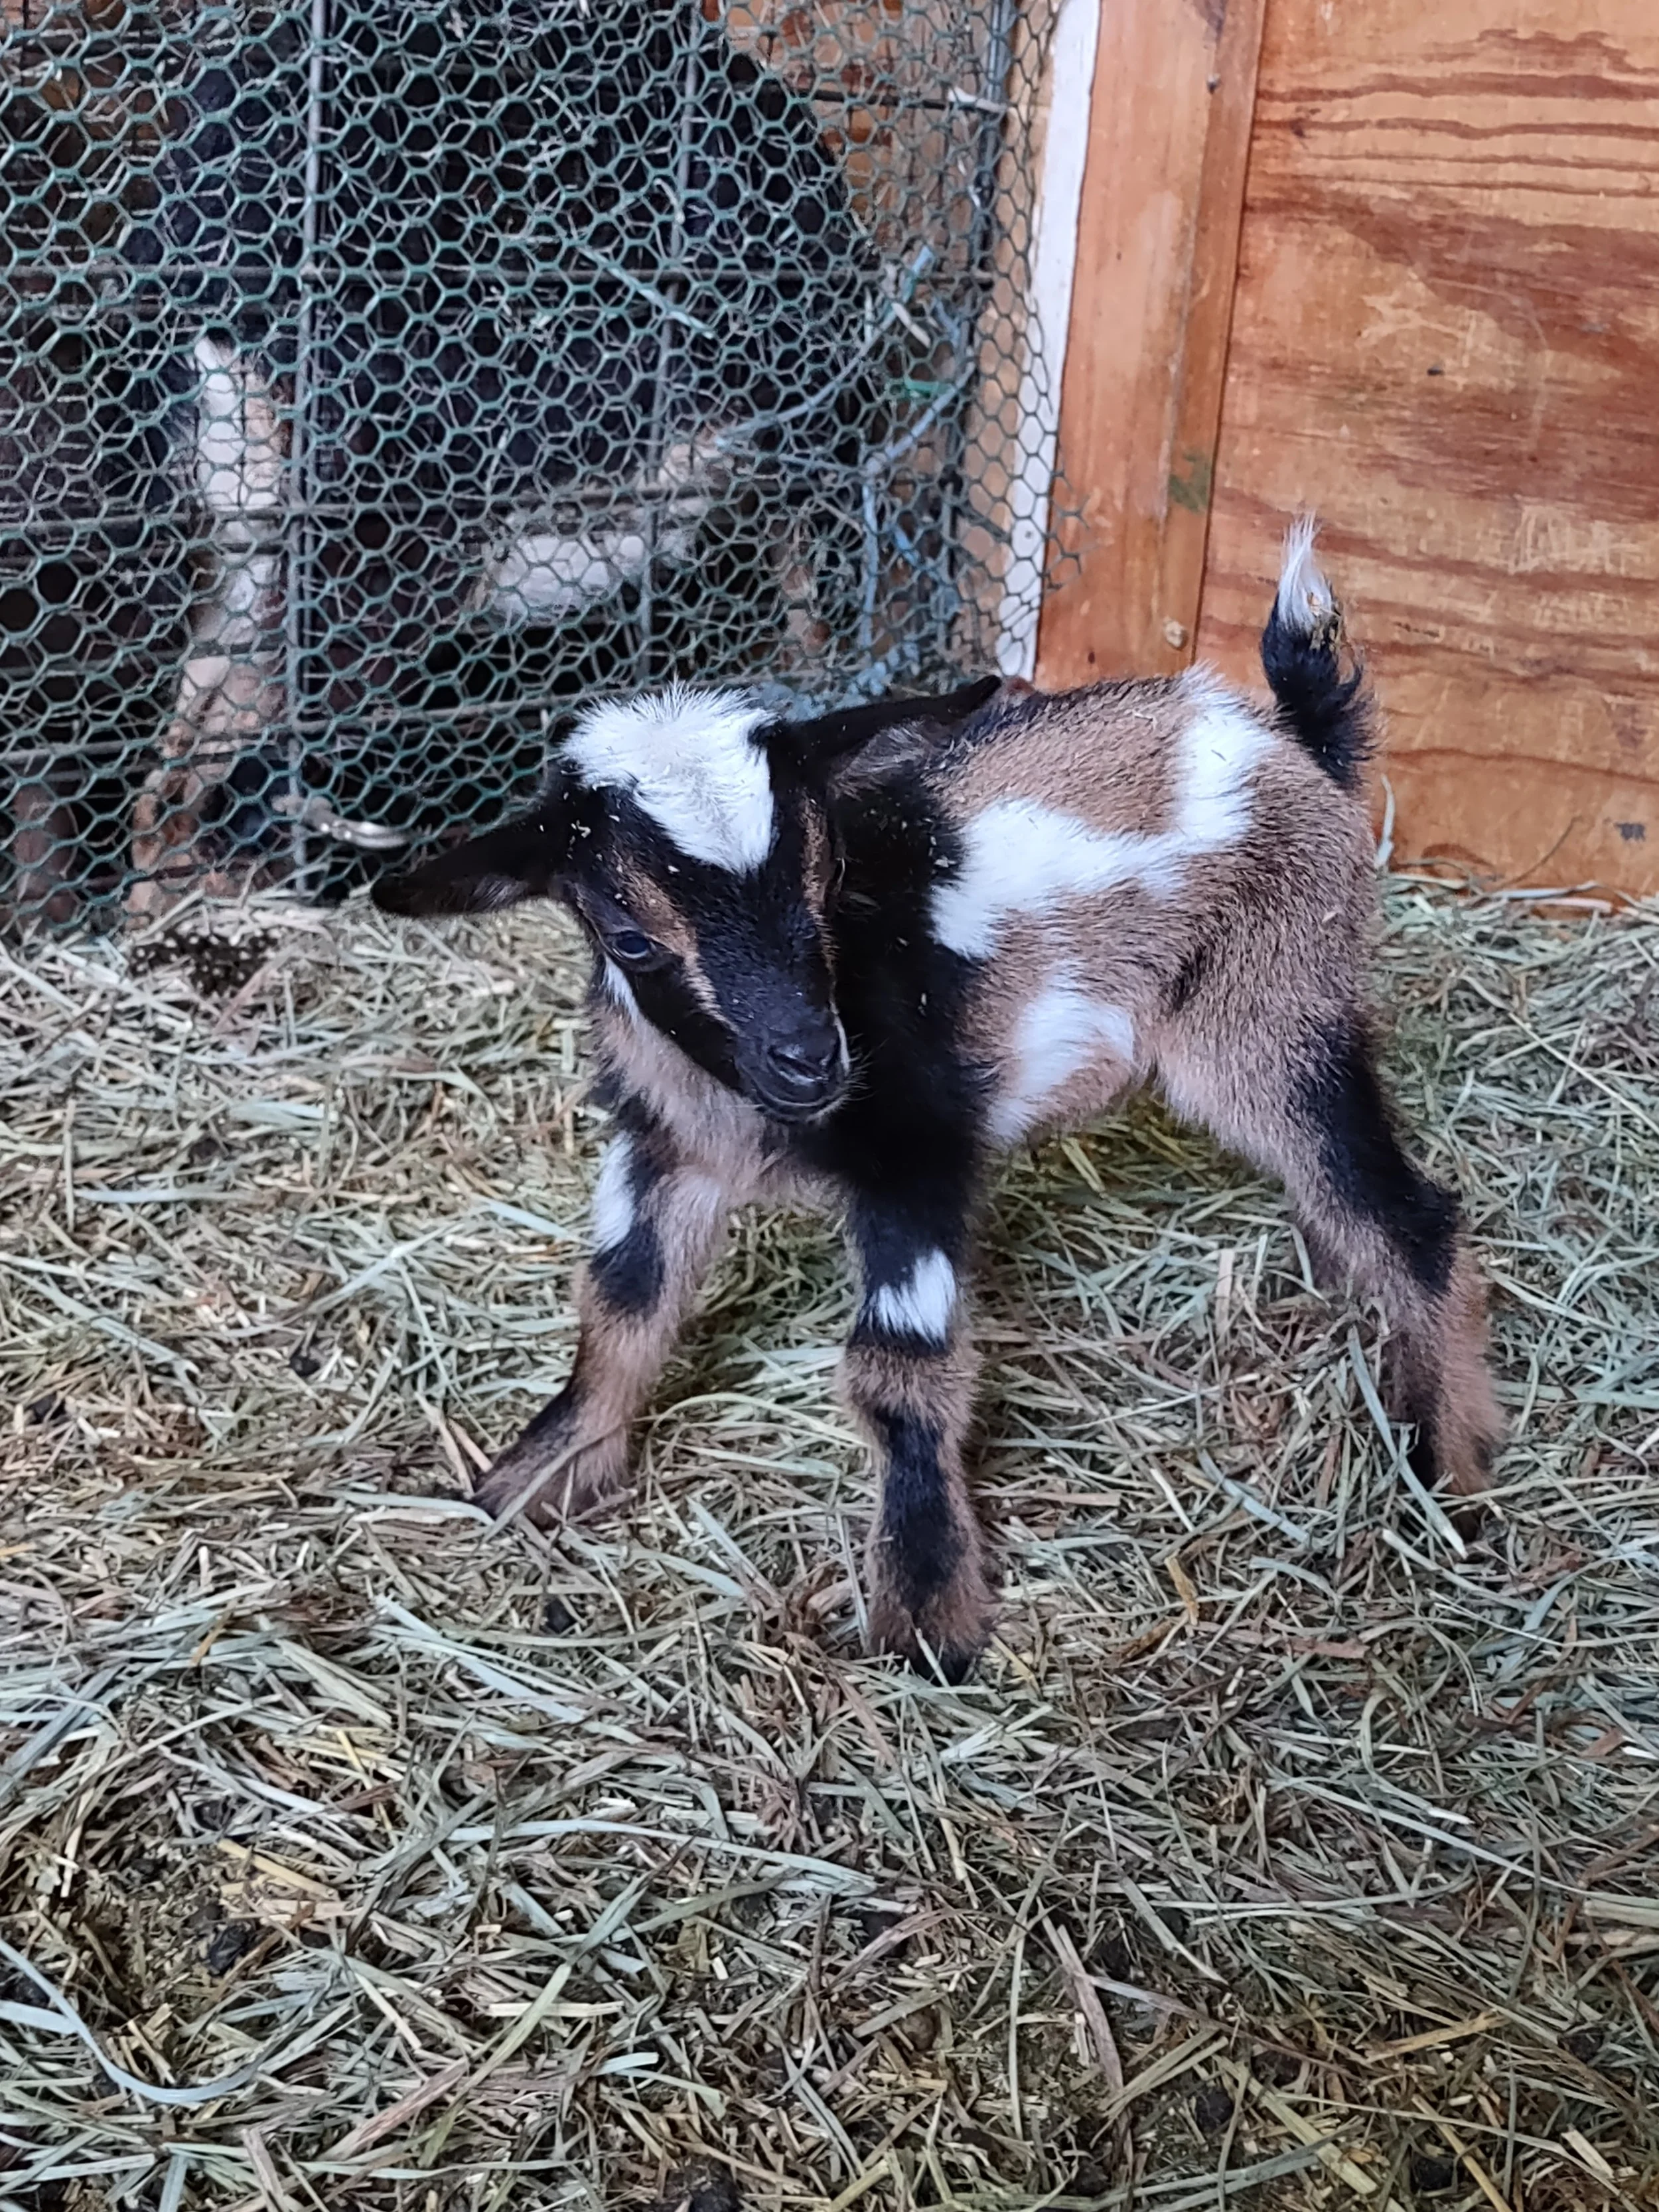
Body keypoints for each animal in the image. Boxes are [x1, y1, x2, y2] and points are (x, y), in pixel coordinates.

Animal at [374, 524, 1505, 1680]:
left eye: (824, 876)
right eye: (629, 935)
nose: (810, 1060)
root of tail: (1293, 740)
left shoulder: (917, 1148)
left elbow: (897, 1369)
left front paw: (927, 1609)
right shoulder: (664, 1146)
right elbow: (624, 1301)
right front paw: (540, 1472)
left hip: (1272, 1008)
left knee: (1403, 1211)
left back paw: (1453, 1466)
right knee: (1341, 1197)